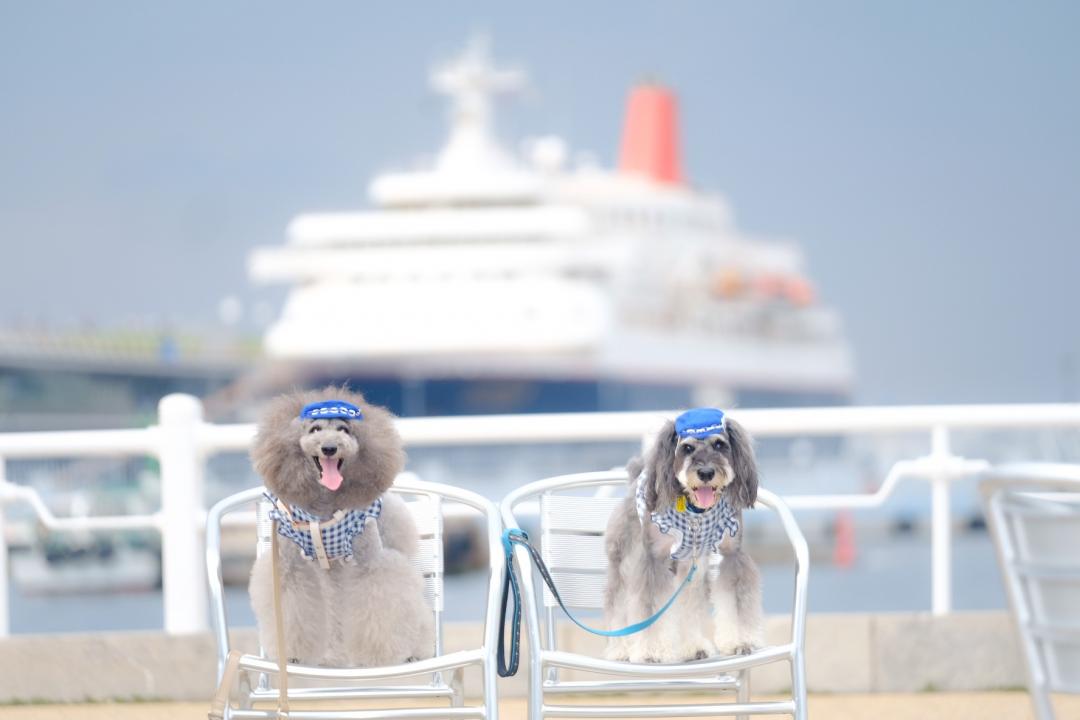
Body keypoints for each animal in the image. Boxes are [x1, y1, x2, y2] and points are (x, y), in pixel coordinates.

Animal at [248, 388, 434, 669]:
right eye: (314, 429)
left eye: (344, 430)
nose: (329, 447)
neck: (326, 503)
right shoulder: (288, 567)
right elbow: (293, 610)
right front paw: (292, 653)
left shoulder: (370, 564)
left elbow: (380, 606)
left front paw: (378, 656)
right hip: (330, 575)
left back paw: (416, 650)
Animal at [604, 410, 764, 664]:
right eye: (687, 448)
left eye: (720, 444)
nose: (706, 473)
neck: (696, 512)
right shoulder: (653, 561)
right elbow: (650, 609)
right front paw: (652, 651)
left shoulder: (732, 556)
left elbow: (737, 604)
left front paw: (740, 642)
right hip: (624, 562)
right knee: (618, 603)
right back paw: (619, 649)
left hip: (689, 569)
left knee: (686, 606)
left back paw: (692, 647)